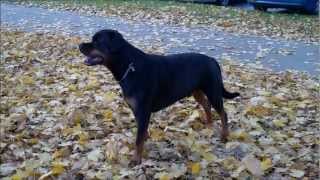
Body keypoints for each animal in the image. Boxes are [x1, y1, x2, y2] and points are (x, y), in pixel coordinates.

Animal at [79, 29, 239, 165]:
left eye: (98, 41)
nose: (80, 45)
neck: (129, 67)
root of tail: (213, 60)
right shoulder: (137, 110)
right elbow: (141, 132)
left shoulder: (143, 110)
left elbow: (138, 139)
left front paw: (136, 159)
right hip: (197, 91)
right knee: (206, 105)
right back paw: (209, 125)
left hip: (213, 90)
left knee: (223, 113)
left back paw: (224, 136)